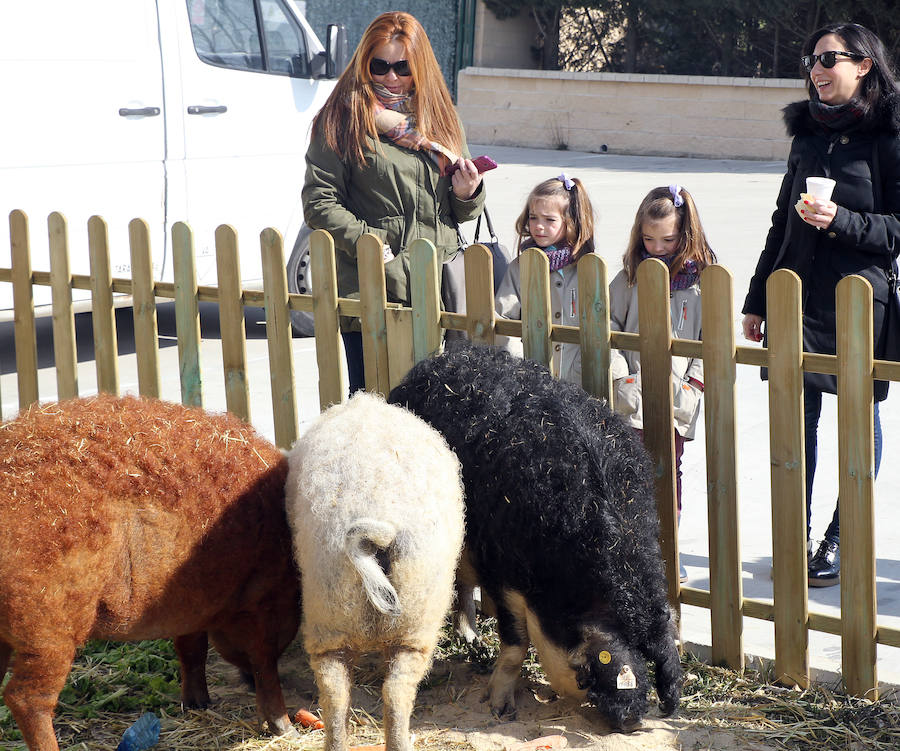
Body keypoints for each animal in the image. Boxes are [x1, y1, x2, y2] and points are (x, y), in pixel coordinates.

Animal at [388, 344, 684, 732]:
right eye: (587, 673)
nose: (632, 719)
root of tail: (432, 363)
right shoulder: (500, 570)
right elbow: (516, 644)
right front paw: (501, 710)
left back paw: (474, 642)